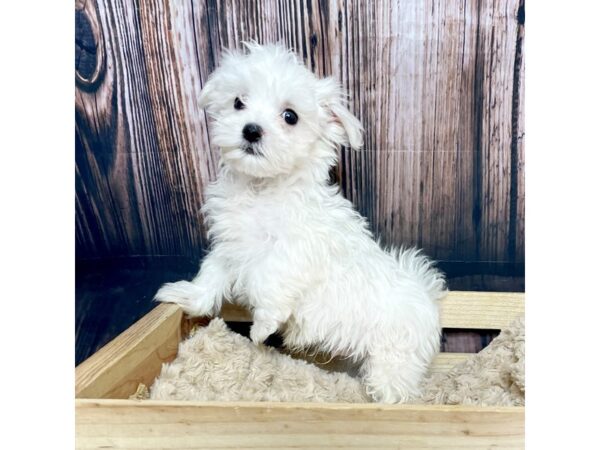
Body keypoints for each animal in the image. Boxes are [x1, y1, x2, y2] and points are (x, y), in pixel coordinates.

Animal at [155, 41, 446, 400]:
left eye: (290, 116)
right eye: (238, 102)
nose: (251, 129)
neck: (262, 189)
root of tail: (426, 295)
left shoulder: (295, 251)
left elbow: (269, 281)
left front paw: (262, 327)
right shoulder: (230, 246)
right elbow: (211, 274)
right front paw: (189, 296)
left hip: (394, 357)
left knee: (395, 385)